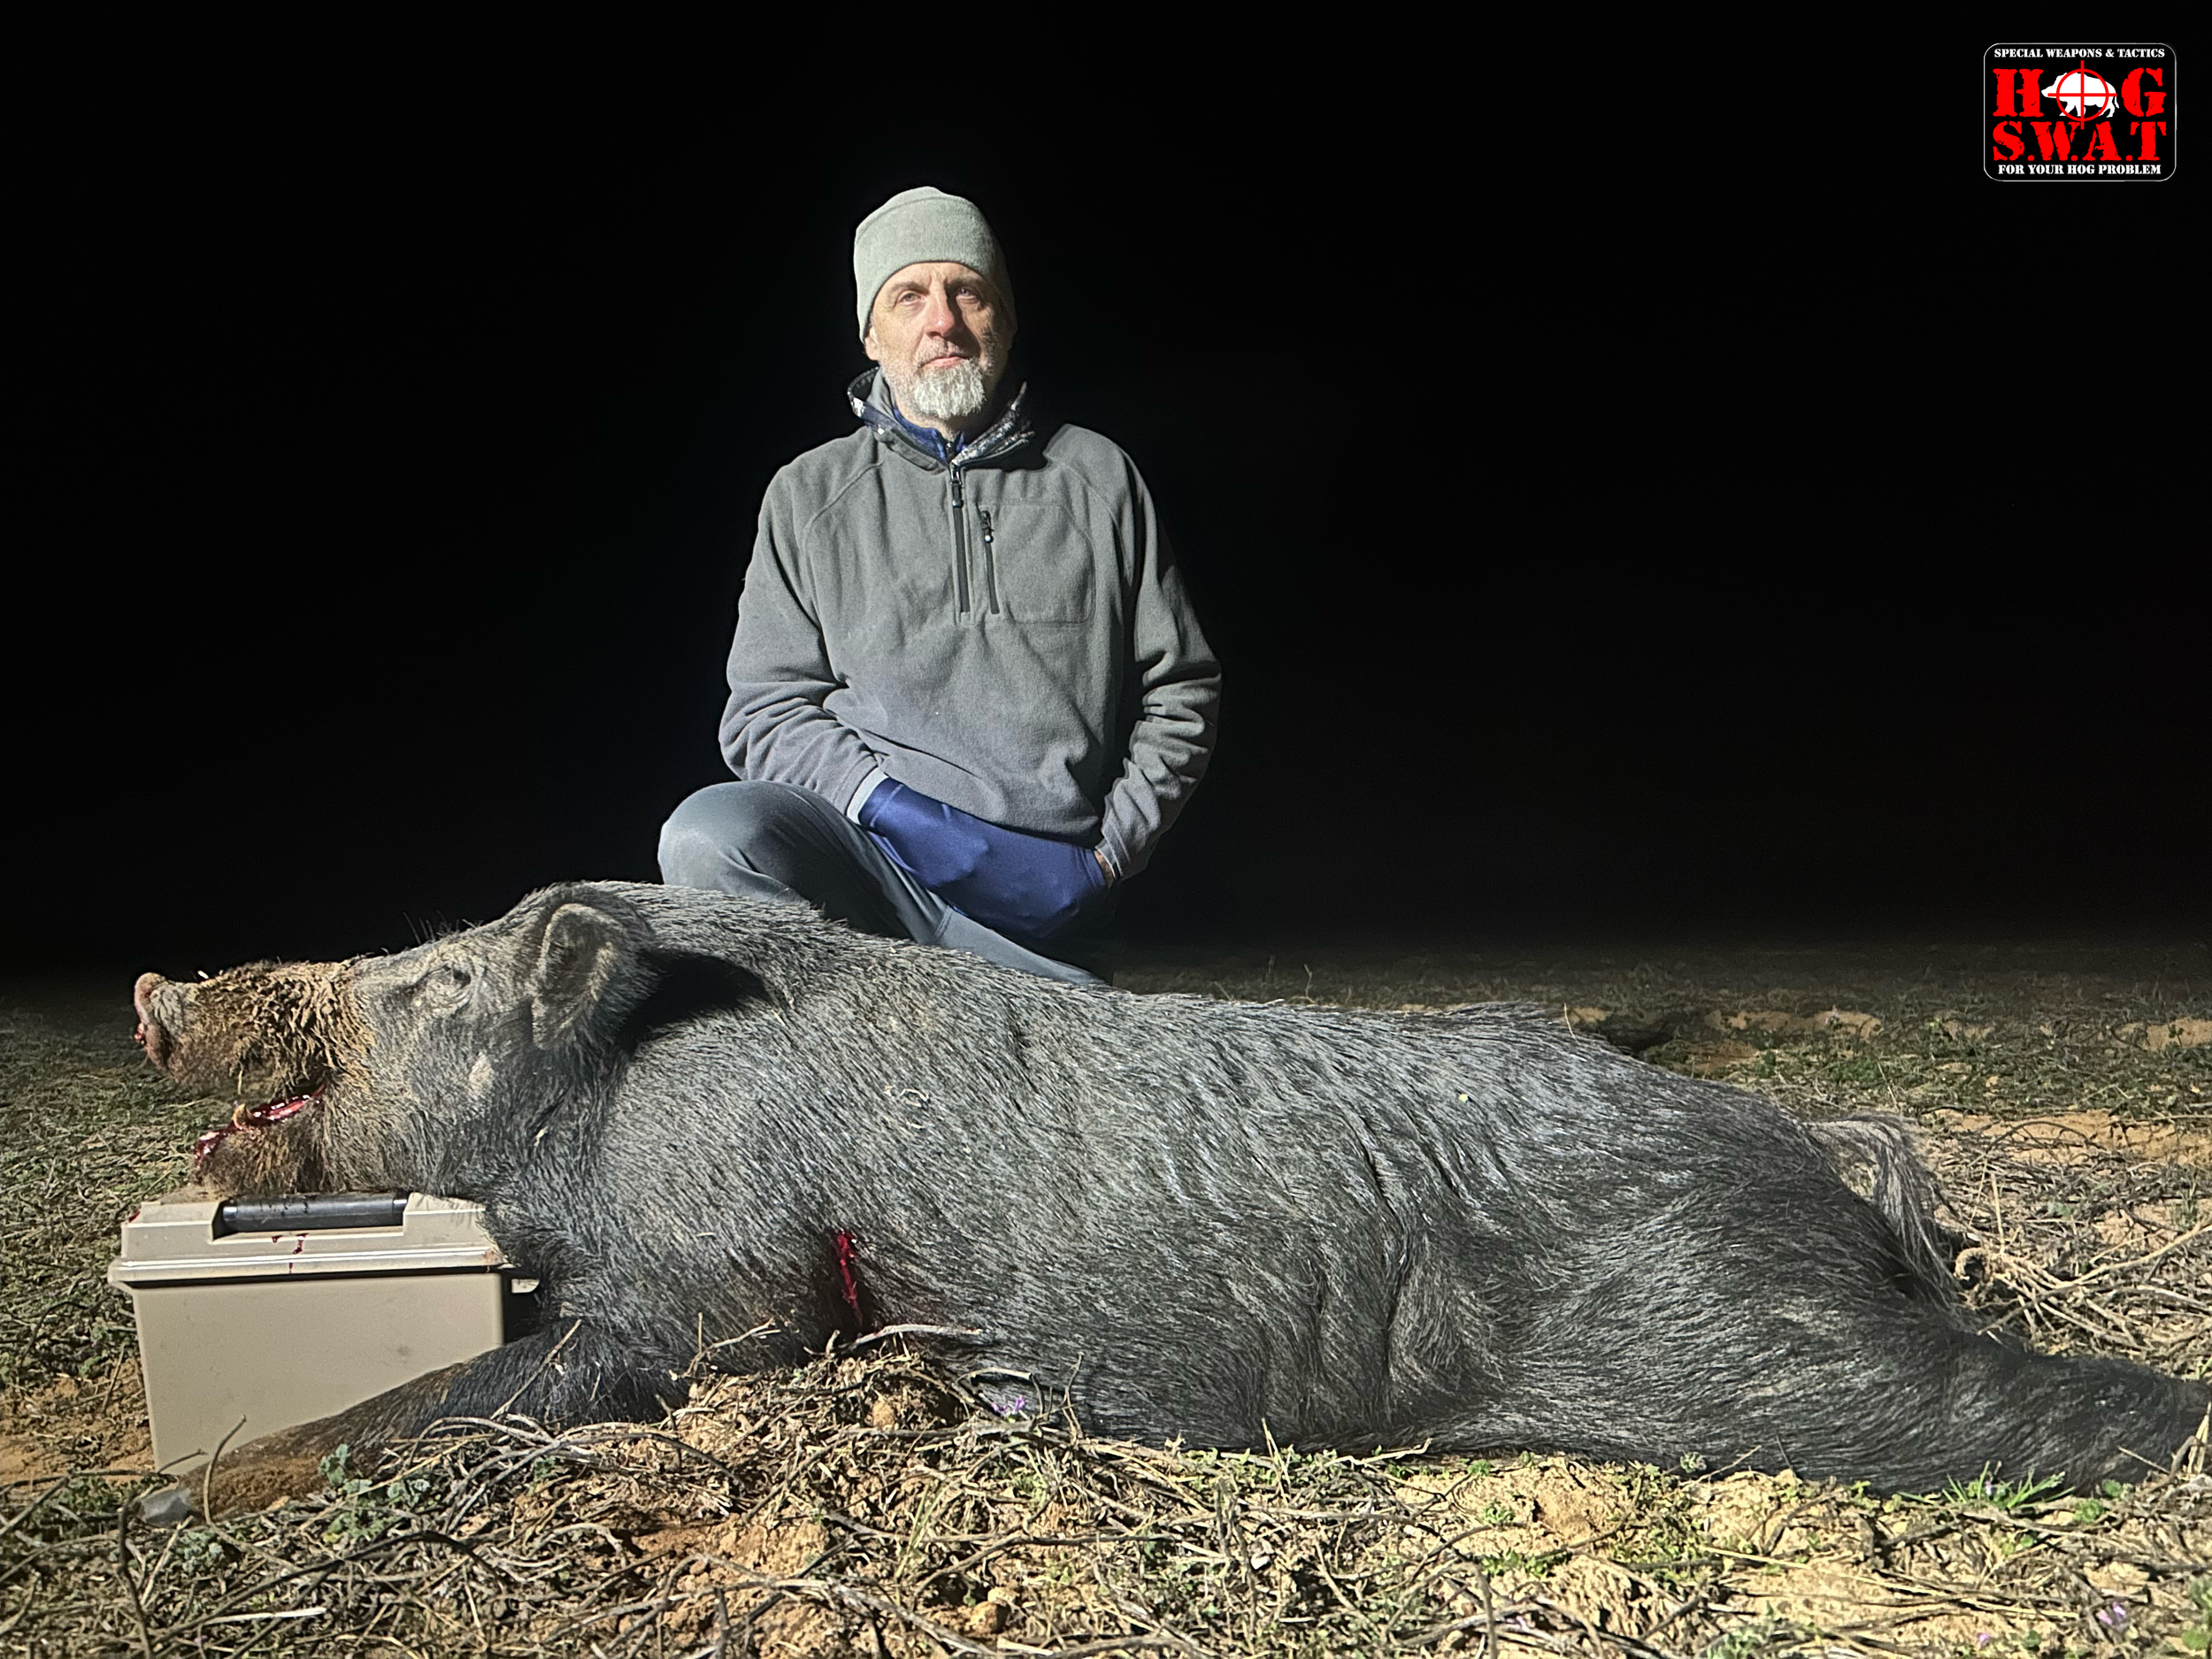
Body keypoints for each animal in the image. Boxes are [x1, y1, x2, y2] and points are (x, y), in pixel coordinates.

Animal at [129, 881, 2208, 1517]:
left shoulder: (718, 1284)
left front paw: (160, 1490)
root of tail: (1810, 1148)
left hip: (1752, 1345)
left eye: (431, 984)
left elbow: (490, 1382)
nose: (159, 989)